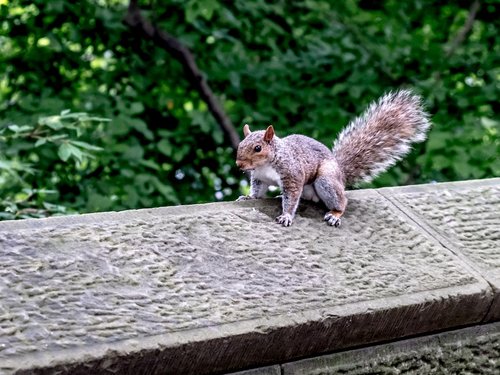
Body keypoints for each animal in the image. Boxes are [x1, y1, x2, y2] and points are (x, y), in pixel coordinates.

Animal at [236, 89, 432, 228]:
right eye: (240, 144)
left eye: (258, 148)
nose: (239, 164)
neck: (266, 165)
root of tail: (341, 175)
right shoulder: (260, 178)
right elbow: (257, 190)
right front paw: (248, 197)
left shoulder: (292, 174)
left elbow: (291, 198)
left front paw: (286, 216)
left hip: (326, 180)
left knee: (342, 201)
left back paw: (335, 214)